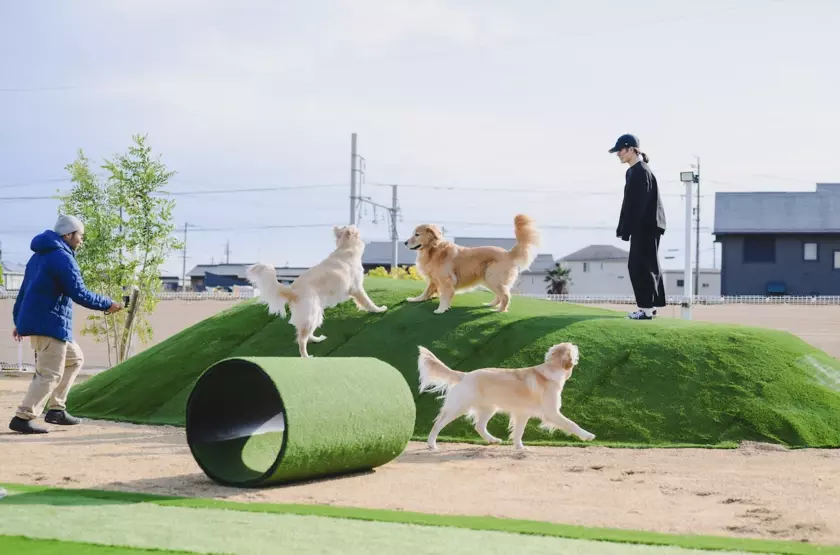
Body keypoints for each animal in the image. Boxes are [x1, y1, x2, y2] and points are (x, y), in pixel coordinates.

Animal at [243, 225, 388, 358]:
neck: (344, 248)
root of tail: (291, 289)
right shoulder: (357, 288)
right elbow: (368, 302)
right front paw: (378, 309)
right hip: (311, 315)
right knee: (301, 340)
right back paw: (306, 357)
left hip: (315, 314)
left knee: (305, 335)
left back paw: (317, 339)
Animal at [404, 215, 540, 314]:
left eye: (417, 234)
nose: (405, 242)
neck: (434, 250)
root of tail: (508, 253)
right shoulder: (433, 280)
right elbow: (426, 291)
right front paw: (416, 299)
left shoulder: (447, 281)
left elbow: (444, 296)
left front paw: (441, 309)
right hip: (488, 278)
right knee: (499, 295)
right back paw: (491, 304)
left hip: (492, 277)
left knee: (506, 296)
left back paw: (499, 310)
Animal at [416, 344, 592, 452]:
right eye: (574, 348)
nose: (578, 347)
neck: (551, 370)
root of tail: (464, 375)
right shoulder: (551, 413)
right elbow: (571, 424)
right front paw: (587, 435)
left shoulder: (522, 414)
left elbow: (519, 431)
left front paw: (520, 447)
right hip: (458, 407)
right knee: (438, 423)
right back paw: (431, 444)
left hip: (489, 408)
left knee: (479, 426)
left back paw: (492, 440)